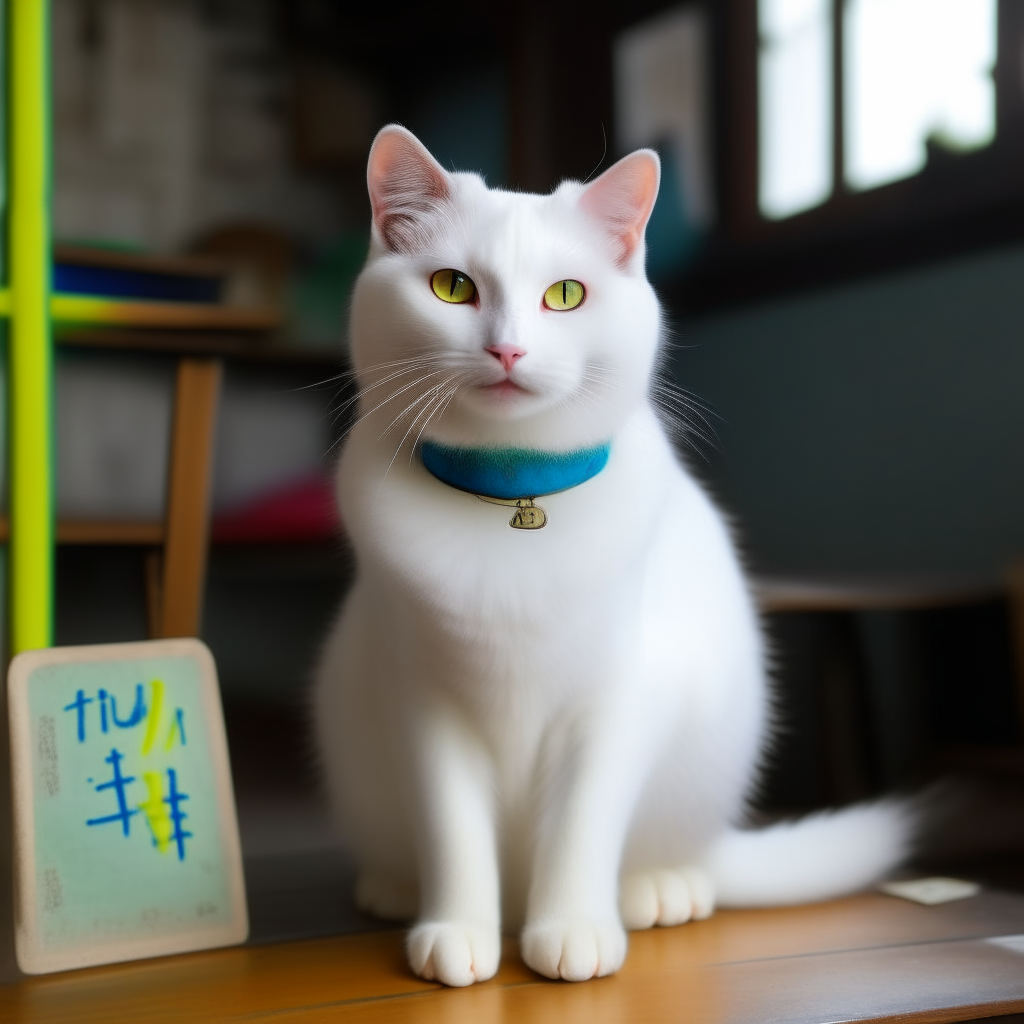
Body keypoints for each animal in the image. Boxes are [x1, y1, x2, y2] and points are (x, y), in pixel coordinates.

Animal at [313, 123, 913, 987]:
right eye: (453, 288)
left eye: (565, 295)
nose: (508, 350)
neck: (513, 496)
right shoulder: (423, 702)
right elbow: (452, 828)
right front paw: (457, 929)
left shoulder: (619, 700)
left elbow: (582, 825)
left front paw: (572, 930)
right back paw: (396, 889)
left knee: (667, 857)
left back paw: (659, 890)